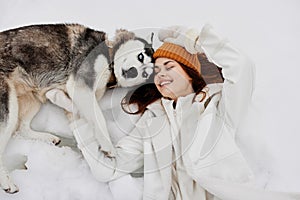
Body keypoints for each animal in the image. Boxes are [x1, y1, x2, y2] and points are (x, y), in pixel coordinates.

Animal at [0, 23, 154, 194]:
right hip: (9, 107)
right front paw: (108, 146)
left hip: (32, 99)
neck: (109, 58)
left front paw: (56, 96)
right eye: (140, 57)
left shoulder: (82, 93)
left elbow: (75, 108)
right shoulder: (80, 86)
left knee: (22, 128)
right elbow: (99, 117)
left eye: (145, 73)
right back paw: (7, 182)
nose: (132, 71)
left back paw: (48, 137)